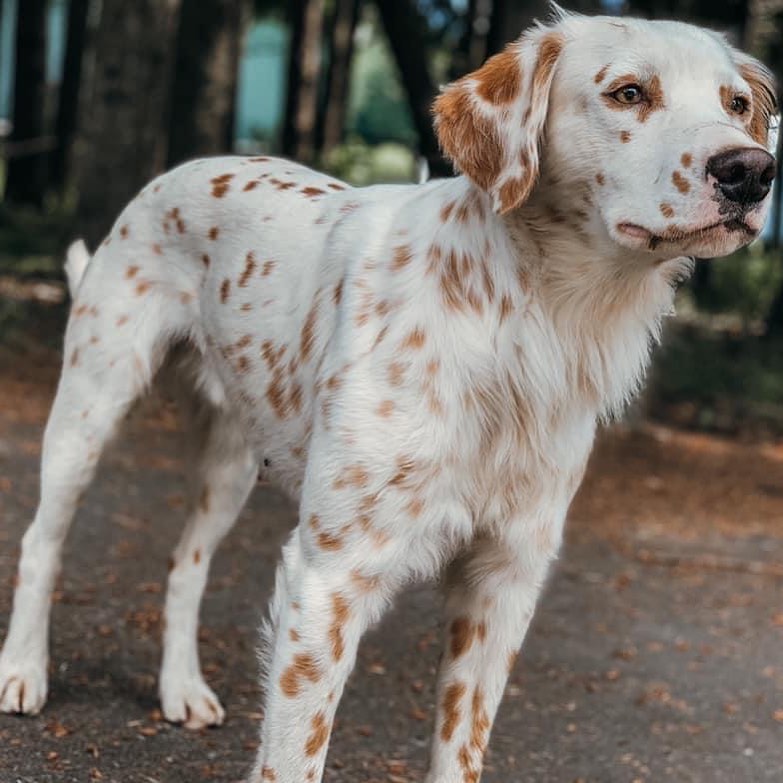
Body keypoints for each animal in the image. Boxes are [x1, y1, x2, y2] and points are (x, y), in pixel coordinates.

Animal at [0, 7, 776, 783]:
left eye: (736, 105)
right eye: (628, 93)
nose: (751, 172)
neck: (531, 322)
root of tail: (180, 172)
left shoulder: (501, 581)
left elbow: (460, 750)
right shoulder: (328, 578)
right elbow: (294, 758)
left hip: (230, 462)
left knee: (184, 564)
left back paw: (181, 687)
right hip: (90, 406)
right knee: (44, 540)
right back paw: (23, 670)